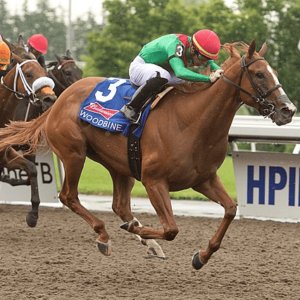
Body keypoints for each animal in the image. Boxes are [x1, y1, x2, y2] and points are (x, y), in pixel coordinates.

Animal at [0, 40, 296, 270]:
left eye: (273, 71)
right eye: (259, 74)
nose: (288, 110)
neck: (193, 121)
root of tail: (59, 99)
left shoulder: (204, 179)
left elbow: (231, 210)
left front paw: (201, 256)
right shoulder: (154, 181)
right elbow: (172, 228)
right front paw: (136, 230)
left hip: (119, 165)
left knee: (120, 205)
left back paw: (147, 242)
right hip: (74, 154)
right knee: (69, 196)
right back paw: (104, 235)